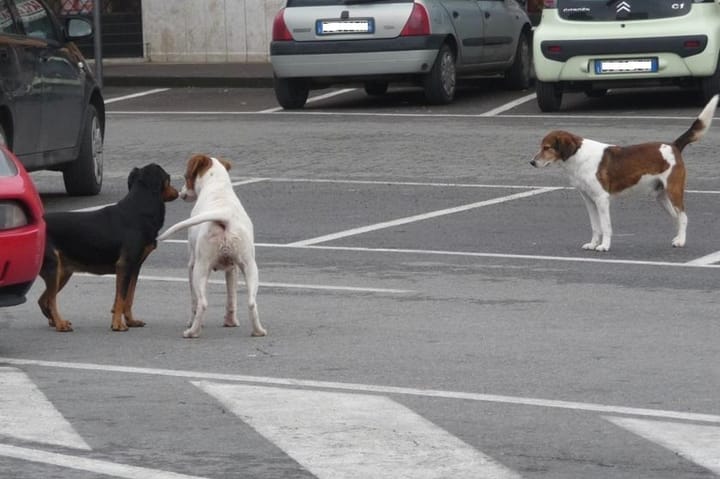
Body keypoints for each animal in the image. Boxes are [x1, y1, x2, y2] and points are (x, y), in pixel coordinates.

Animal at [38, 163, 179, 332]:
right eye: (168, 178)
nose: (178, 192)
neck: (138, 209)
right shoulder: (124, 266)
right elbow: (121, 298)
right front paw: (118, 325)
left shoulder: (134, 267)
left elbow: (128, 297)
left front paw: (130, 321)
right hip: (53, 267)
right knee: (50, 299)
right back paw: (60, 324)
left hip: (63, 271)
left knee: (43, 300)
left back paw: (55, 321)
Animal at [158, 156, 268, 340]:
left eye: (186, 176)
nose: (181, 193)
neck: (217, 186)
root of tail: (225, 217)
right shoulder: (232, 268)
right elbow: (231, 298)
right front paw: (231, 322)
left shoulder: (191, 265)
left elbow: (194, 301)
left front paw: (192, 321)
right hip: (250, 267)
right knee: (252, 302)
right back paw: (258, 331)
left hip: (200, 269)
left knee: (202, 303)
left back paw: (192, 331)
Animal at [532, 93, 716, 251]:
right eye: (541, 147)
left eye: (546, 148)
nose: (532, 162)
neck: (579, 156)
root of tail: (673, 145)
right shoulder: (589, 201)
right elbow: (595, 226)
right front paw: (593, 244)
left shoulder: (602, 199)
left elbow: (605, 226)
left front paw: (604, 246)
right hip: (661, 197)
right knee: (676, 218)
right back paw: (677, 238)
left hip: (674, 191)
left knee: (683, 217)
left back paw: (681, 241)